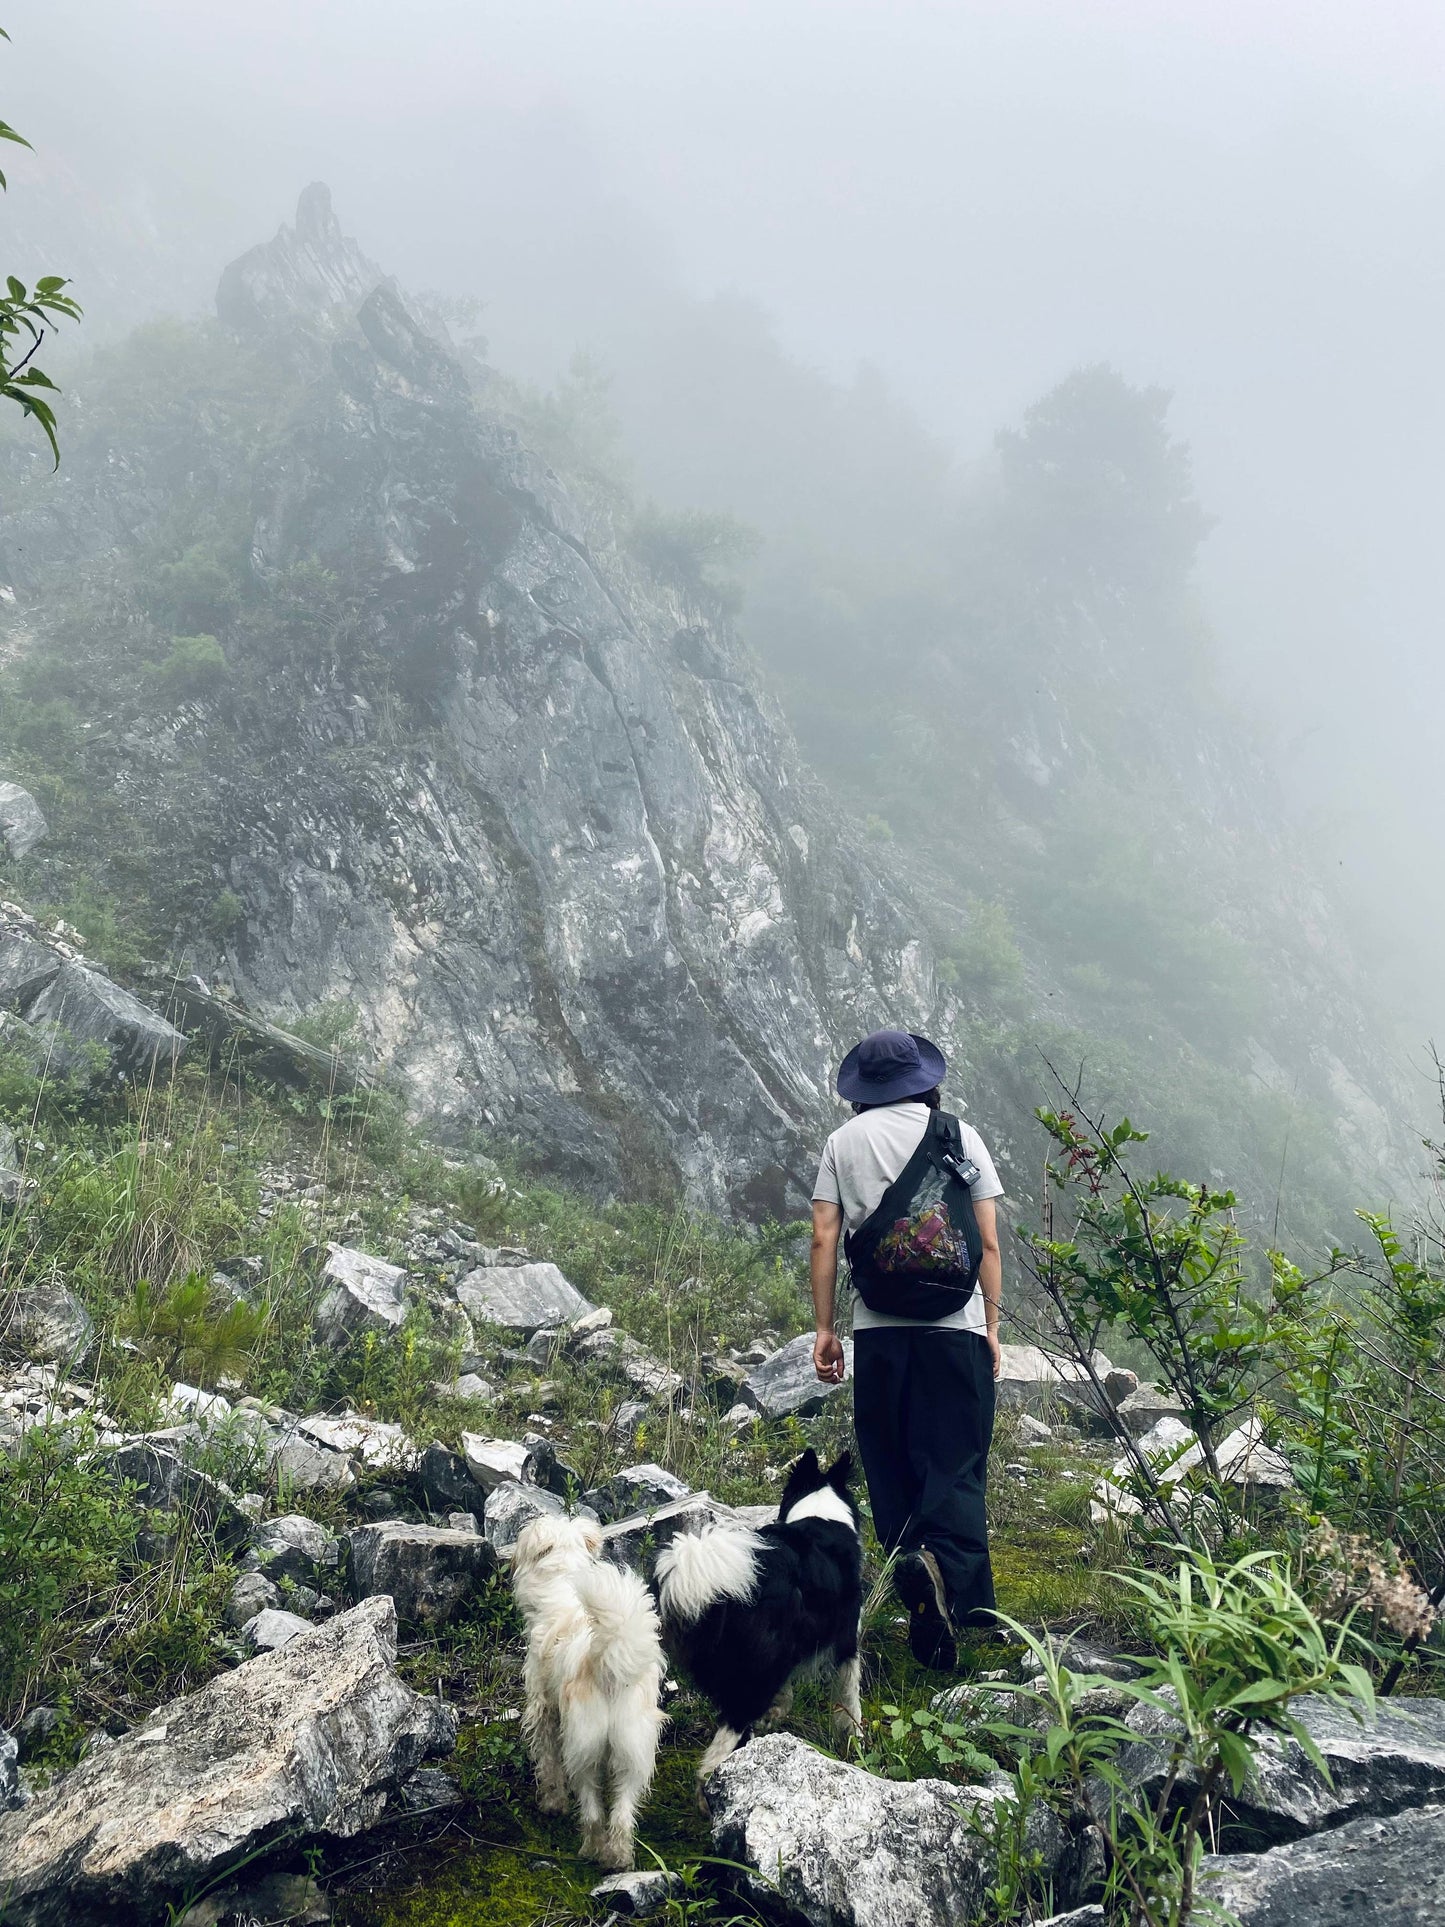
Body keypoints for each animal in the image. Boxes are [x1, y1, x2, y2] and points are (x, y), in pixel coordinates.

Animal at [508, 1510, 666, 1857]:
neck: (563, 1579)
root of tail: (609, 1667)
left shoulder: (543, 1708)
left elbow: (547, 1760)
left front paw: (552, 1802)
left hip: (583, 1746)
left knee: (592, 1807)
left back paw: (592, 1849)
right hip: (634, 1750)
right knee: (622, 1812)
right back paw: (618, 1857)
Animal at [662, 1449, 867, 1772]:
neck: (821, 1511)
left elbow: (785, 1694)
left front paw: (774, 1715)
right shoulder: (846, 1643)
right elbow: (849, 1702)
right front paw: (855, 1743)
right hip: (758, 1667)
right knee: (720, 1746)